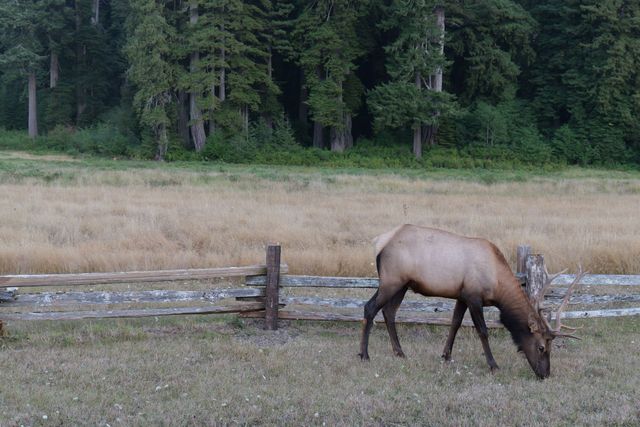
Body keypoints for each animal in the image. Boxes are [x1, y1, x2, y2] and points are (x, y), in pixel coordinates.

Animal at [359, 224, 584, 379]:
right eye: (541, 347)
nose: (545, 374)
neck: (497, 284)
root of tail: (379, 242)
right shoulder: (474, 297)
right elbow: (482, 331)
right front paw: (493, 365)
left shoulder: (461, 296)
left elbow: (455, 324)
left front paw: (446, 356)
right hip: (391, 280)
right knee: (370, 308)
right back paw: (364, 354)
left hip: (402, 284)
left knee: (389, 312)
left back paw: (400, 352)